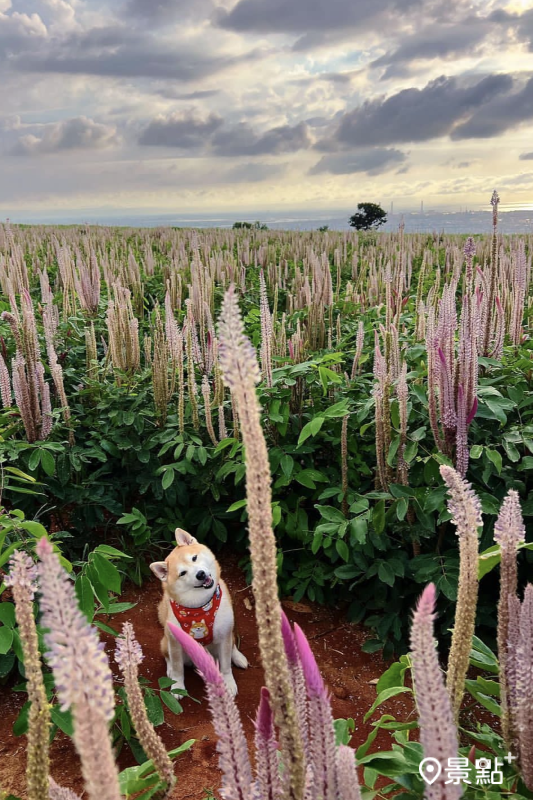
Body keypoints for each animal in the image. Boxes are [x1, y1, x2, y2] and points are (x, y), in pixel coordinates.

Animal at [150, 532, 247, 692]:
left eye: (194, 558)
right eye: (182, 573)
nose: (200, 574)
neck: (200, 606)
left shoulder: (225, 636)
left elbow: (226, 665)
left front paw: (229, 682)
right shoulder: (175, 643)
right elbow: (177, 668)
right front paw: (177, 686)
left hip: (229, 634)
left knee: (233, 646)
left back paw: (238, 657)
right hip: (165, 642)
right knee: (167, 657)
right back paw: (169, 671)